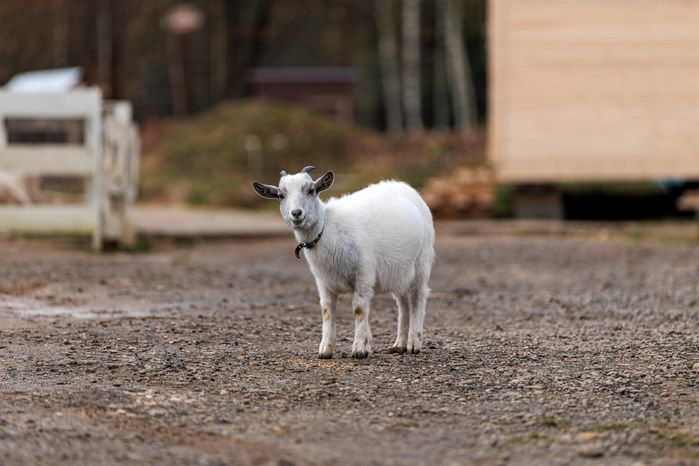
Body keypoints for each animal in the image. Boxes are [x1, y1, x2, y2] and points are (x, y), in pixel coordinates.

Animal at [253, 166, 435, 359]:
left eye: (311, 190)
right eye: (281, 195)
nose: (296, 213)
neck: (328, 230)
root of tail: (406, 187)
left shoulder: (364, 275)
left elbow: (359, 309)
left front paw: (360, 348)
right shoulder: (324, 281)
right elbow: (327, 312)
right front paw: (326, 349)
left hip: (421, 262)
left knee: (418, 298)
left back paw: (414, 343)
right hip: (399, 271)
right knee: (403, 303)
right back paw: (399, 344)